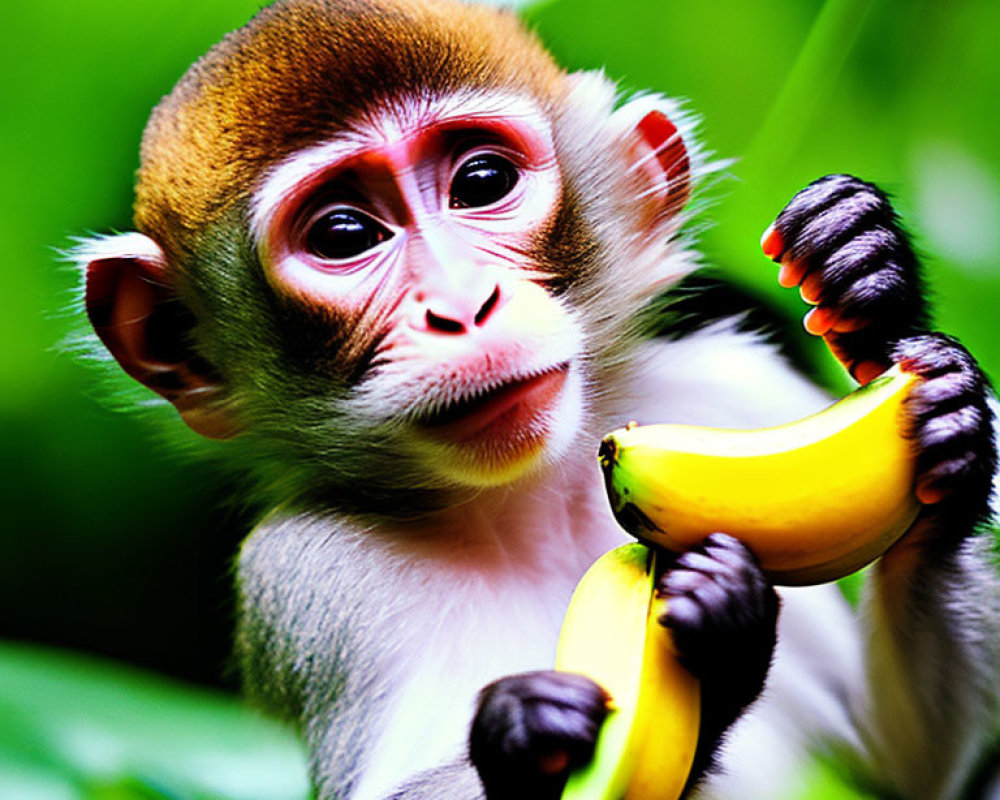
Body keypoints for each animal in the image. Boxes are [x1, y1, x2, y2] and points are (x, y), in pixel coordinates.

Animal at [76, 1, 1000, 800]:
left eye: (482, 181)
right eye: (343, 235)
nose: (461, 305)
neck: (538, 500)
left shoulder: (730, 387)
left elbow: (898, 770)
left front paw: (892, 313)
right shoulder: (307, 575)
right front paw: (528, 737)